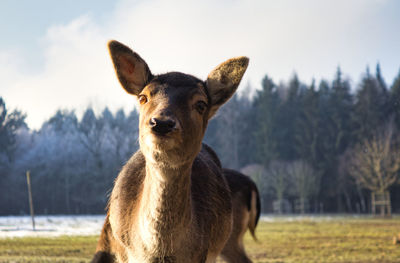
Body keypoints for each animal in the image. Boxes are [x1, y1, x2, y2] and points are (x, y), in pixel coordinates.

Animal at [91, 39, 260, 263]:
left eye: (201, 104)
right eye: (143, 97)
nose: (162, 123)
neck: (157, 254)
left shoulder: (200, 254)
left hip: (228, 241)